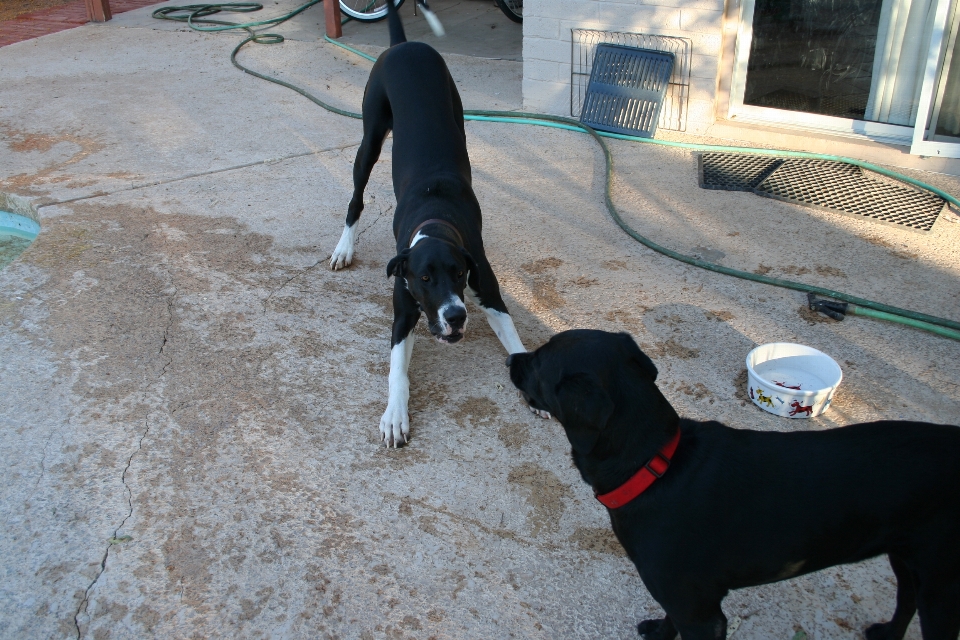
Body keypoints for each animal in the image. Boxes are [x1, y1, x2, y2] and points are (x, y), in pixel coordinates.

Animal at [332, 0, 532, 448]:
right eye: (424, 278)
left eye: (459, 273)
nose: (456, 316)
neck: (436, 220)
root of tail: (404, 45)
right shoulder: (402, 314)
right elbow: (396, 373)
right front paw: (394, 415)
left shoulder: (488, 292)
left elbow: (514, 340)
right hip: (369, 139)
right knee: (355, 198)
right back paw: (343, 247)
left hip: (458, 114)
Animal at [510, 330, 960, 640]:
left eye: (540, 361)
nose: (513, 357)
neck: (658, 466)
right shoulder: (681, 600)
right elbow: (669, 620)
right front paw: (657, 632)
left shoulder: (701, 614)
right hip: (908, 558)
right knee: (906, 600)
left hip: (941, 586)